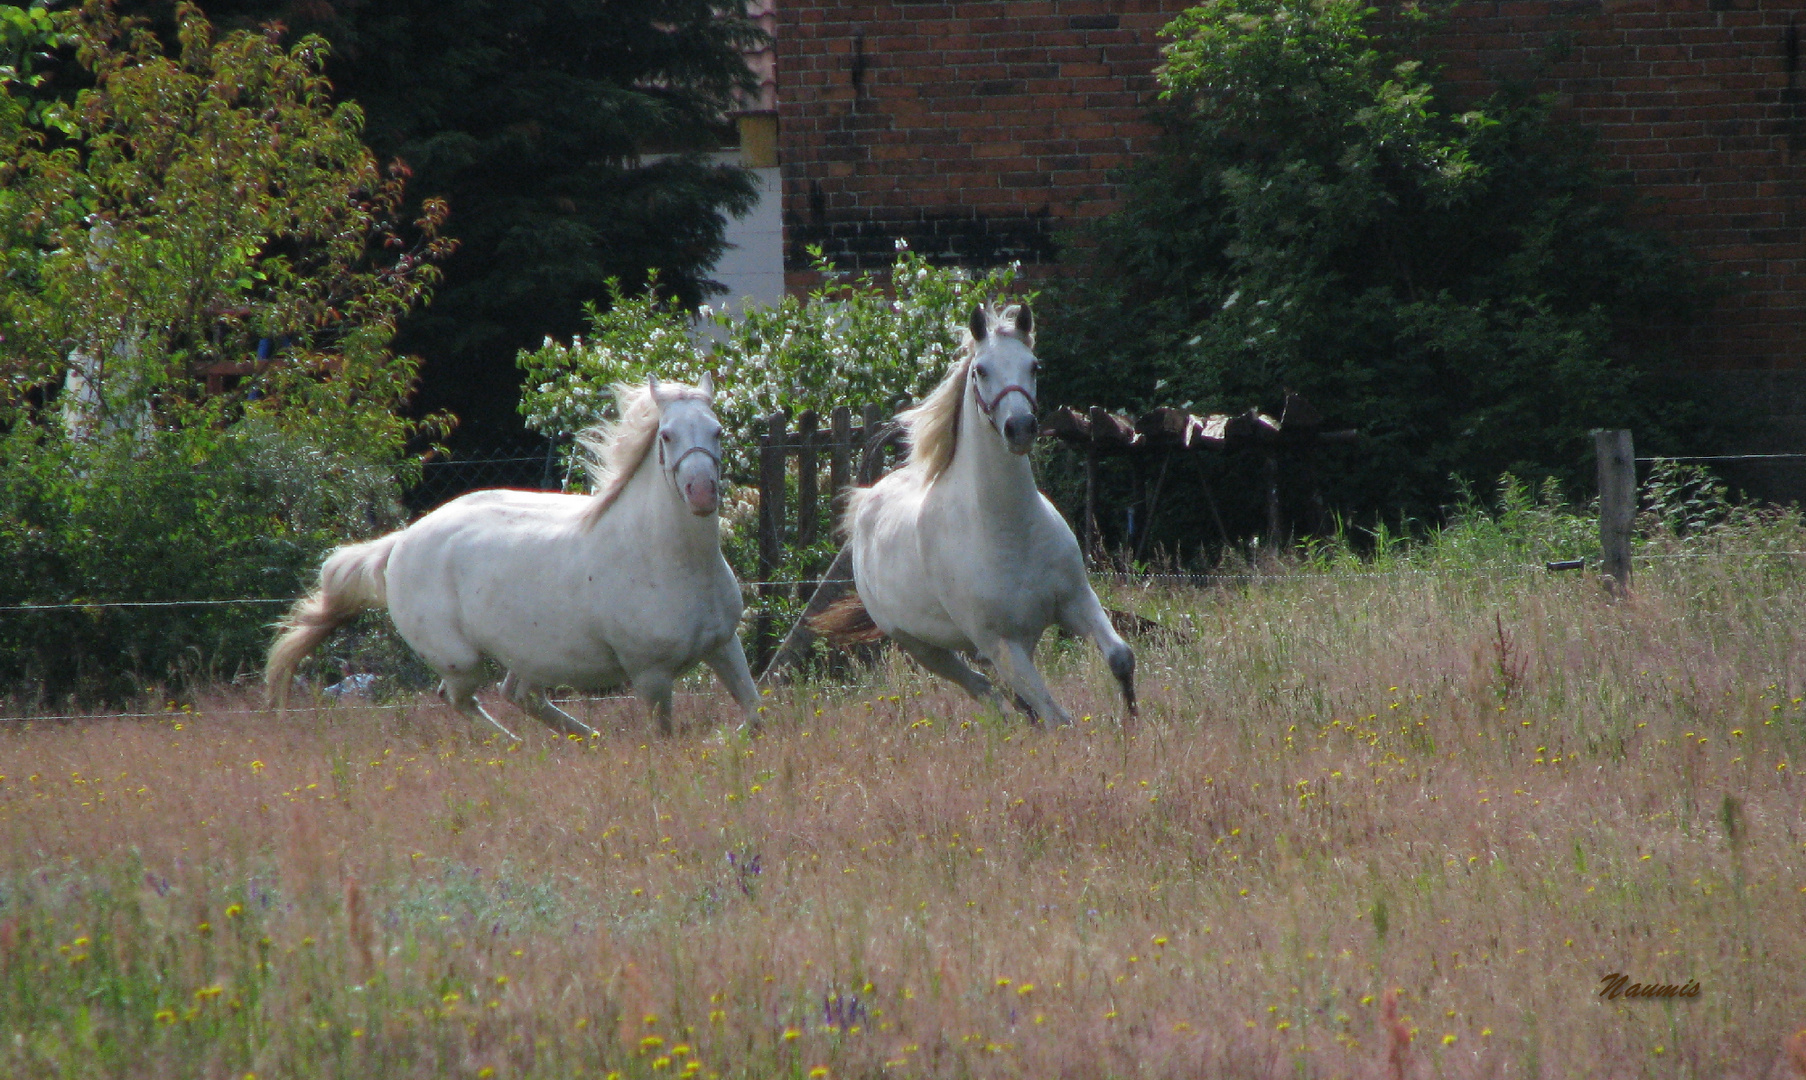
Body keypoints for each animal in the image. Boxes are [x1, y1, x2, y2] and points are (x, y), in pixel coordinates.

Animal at [263, 377, 758, 740]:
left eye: (717, 431)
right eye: (667, 435)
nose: (701, 493)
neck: (670, 560)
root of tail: (400, 543)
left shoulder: (724, 645)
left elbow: (755, 715)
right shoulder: (650, 675)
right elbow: (665, 738)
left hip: (532, 655)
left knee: (519, 695)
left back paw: (588, 742)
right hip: (461, 661)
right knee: (461, 699)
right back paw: (517, 746)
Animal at [827, 305, 1126, 729]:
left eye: (1034, 366)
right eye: (981, 370)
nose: (1020, 428)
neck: (1010, 530)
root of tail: (867, 500)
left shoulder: (1076, 601)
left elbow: (1120, 658)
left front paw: (1134, 720)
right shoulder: (999, 644)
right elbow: (1056, 716)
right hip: (924, 649)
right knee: (984, 690)